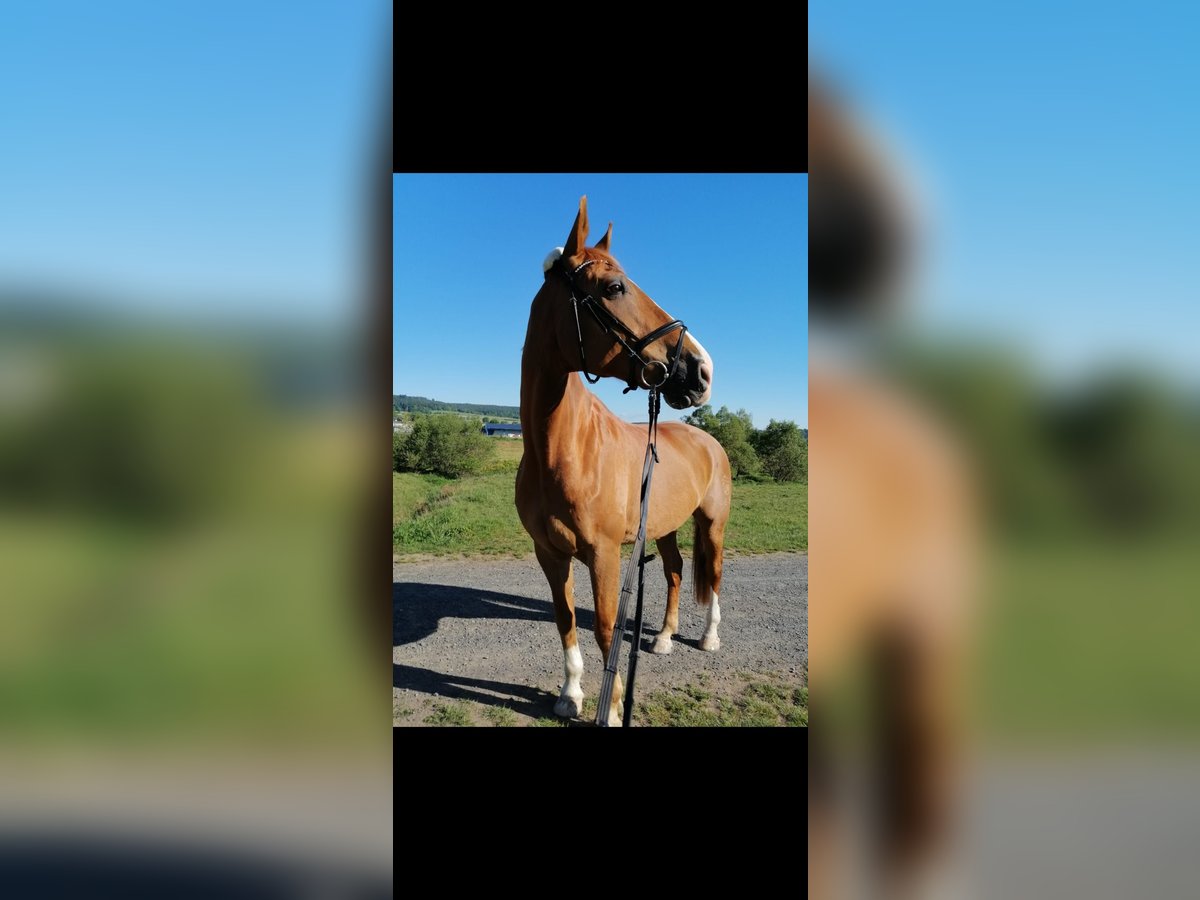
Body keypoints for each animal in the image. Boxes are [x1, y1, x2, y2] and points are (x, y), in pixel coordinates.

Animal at [516, 195, 729, 724]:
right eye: (614, 288)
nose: (702, 370)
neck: (563, 452)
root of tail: (708, 441)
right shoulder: (550, 553)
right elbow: (566, 619)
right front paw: (570, 694)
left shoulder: (605, 554)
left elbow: (608, 630)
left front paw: (611, 709)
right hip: (666, 525)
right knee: (675, 571)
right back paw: (665, 638)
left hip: (712, 524)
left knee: (713, 575)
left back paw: (708, 637)